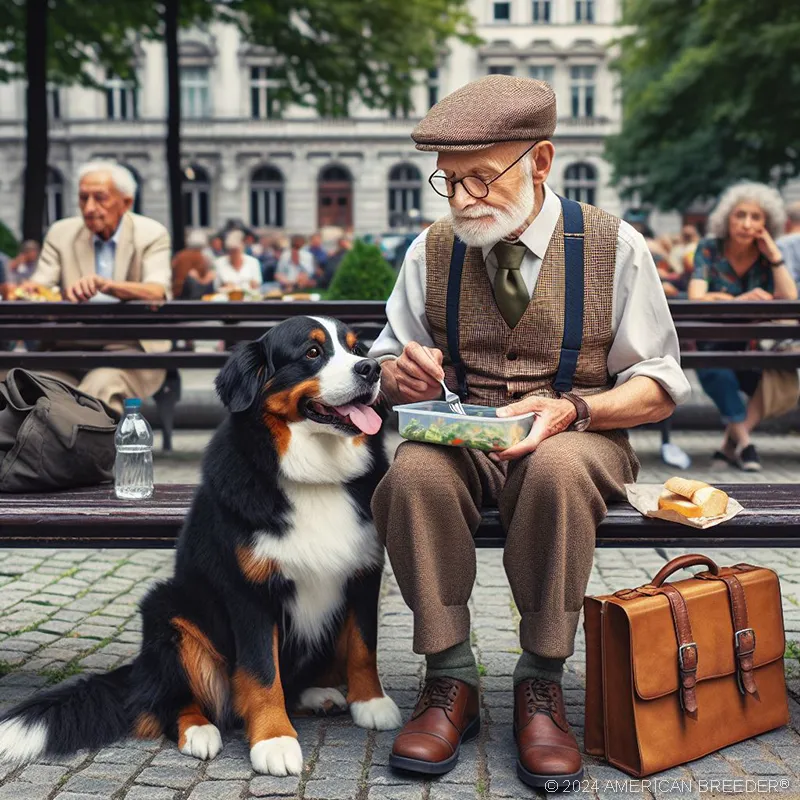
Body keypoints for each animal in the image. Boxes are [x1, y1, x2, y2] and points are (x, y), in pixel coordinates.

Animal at [0, 318, 400, 776]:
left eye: (358, 349)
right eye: (313, 353)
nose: (371, 370)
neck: (315, 478)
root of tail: (140, 671)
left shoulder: (363, 574)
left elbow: (363, 646)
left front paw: (371, 702)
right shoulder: (250, 592)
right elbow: (262, 673)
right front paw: (274, 740)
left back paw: (318, 694)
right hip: (169, 610)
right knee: (168, 704)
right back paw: (199, 731)